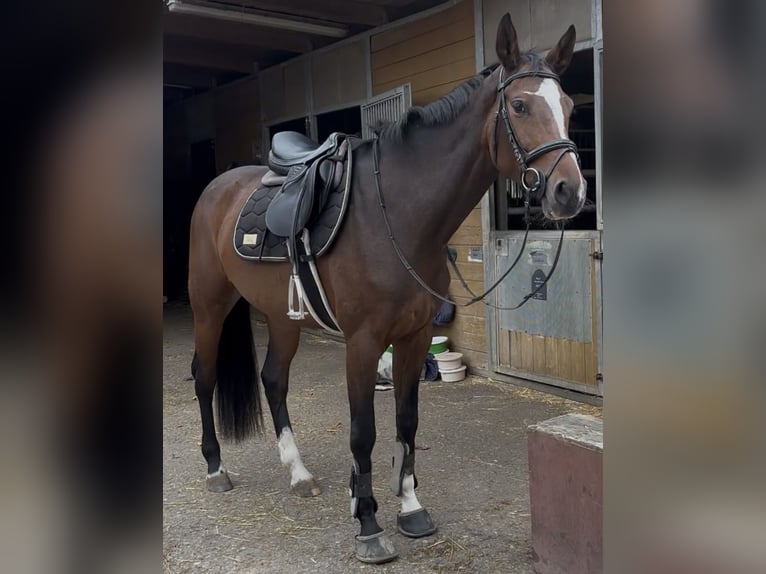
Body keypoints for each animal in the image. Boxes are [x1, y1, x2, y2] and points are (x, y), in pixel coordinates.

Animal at [187, 13, 585, 564]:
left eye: (568, 107)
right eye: (521, 106)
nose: (571, 192)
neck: (396, 214)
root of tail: (217, 187)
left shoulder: (413, 339)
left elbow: (406, 421)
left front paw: (410, 508)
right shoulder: (363, 343)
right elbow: (363, 432)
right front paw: (369, 524)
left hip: (282, 316)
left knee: (273, 381)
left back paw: (299, 473)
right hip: (210, 306)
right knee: (204, 378)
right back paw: (215, 468)